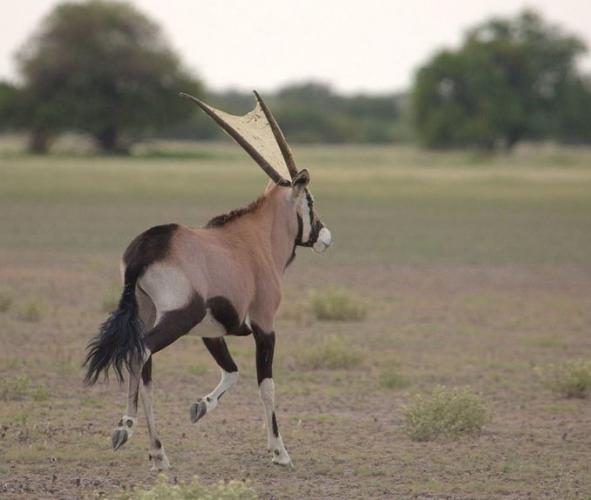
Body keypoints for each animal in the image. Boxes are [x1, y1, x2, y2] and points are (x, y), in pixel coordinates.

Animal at [83, 92, 332, 470]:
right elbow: (266, 385)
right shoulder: (264, 324)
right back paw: (150, 446)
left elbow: (232, 372)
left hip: (149, 315)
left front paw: (200, 406)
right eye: (311, 201)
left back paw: (135, 435)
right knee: (142, 353)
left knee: (142, 362)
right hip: (177, 318)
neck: (257, 237)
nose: (325, 236)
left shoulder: (212, 332)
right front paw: (280, 452)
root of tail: (147, 247)